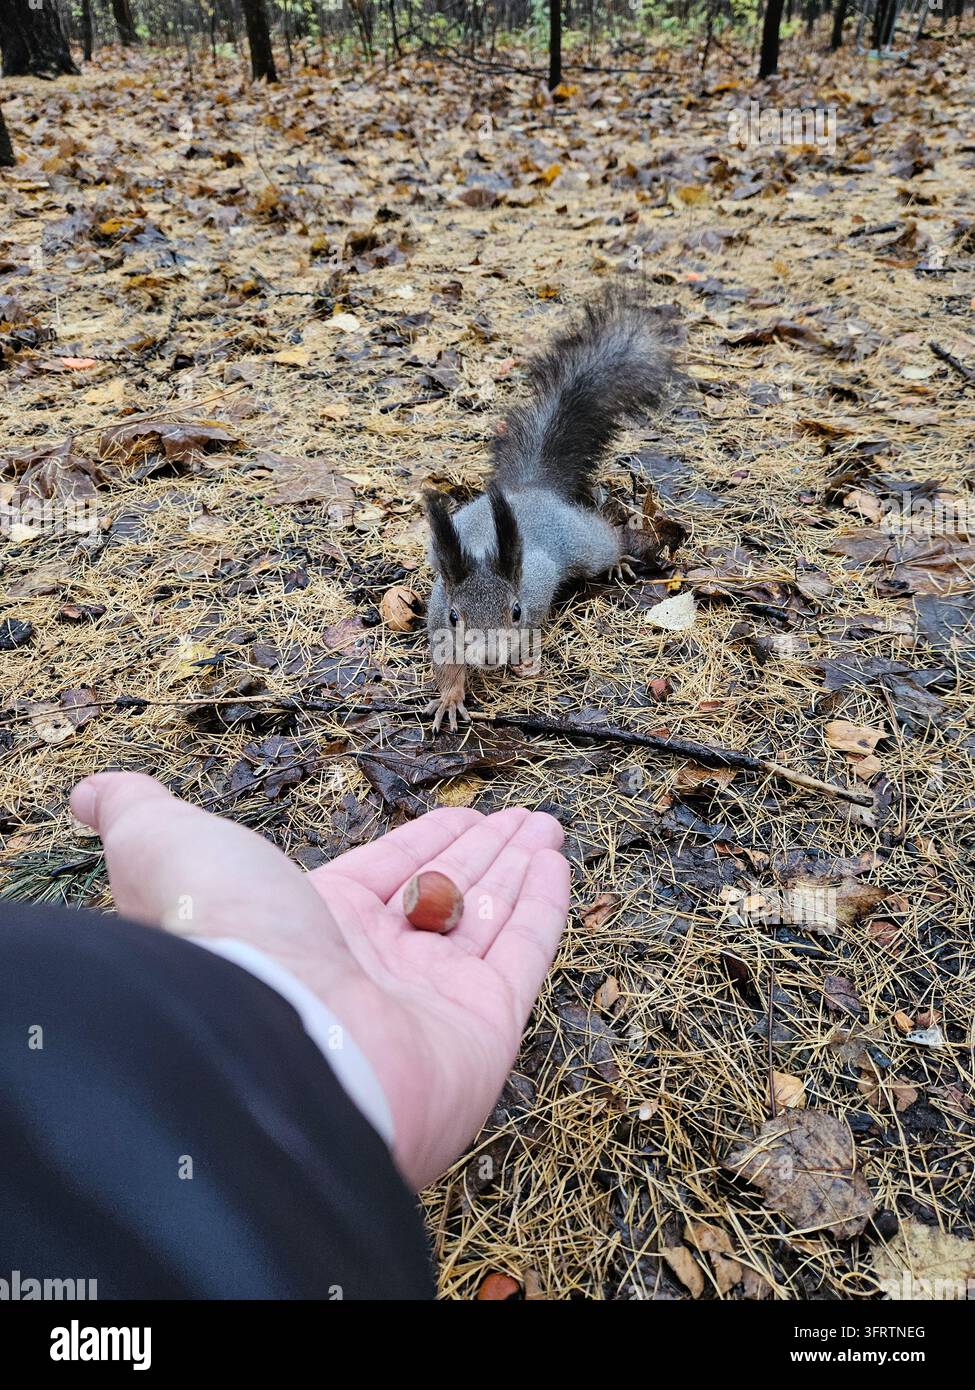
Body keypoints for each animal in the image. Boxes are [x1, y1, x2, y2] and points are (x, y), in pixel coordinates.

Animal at [424, 287, 680, 732]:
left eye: (516, 611)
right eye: (456, 617)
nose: (490, 657)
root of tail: (531, 490)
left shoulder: (537, 594)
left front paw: (525, 661)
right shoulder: (438, 619)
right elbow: (446, 666)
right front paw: (451, 698)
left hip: (583, 543)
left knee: (603, 543)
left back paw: (617, 562)